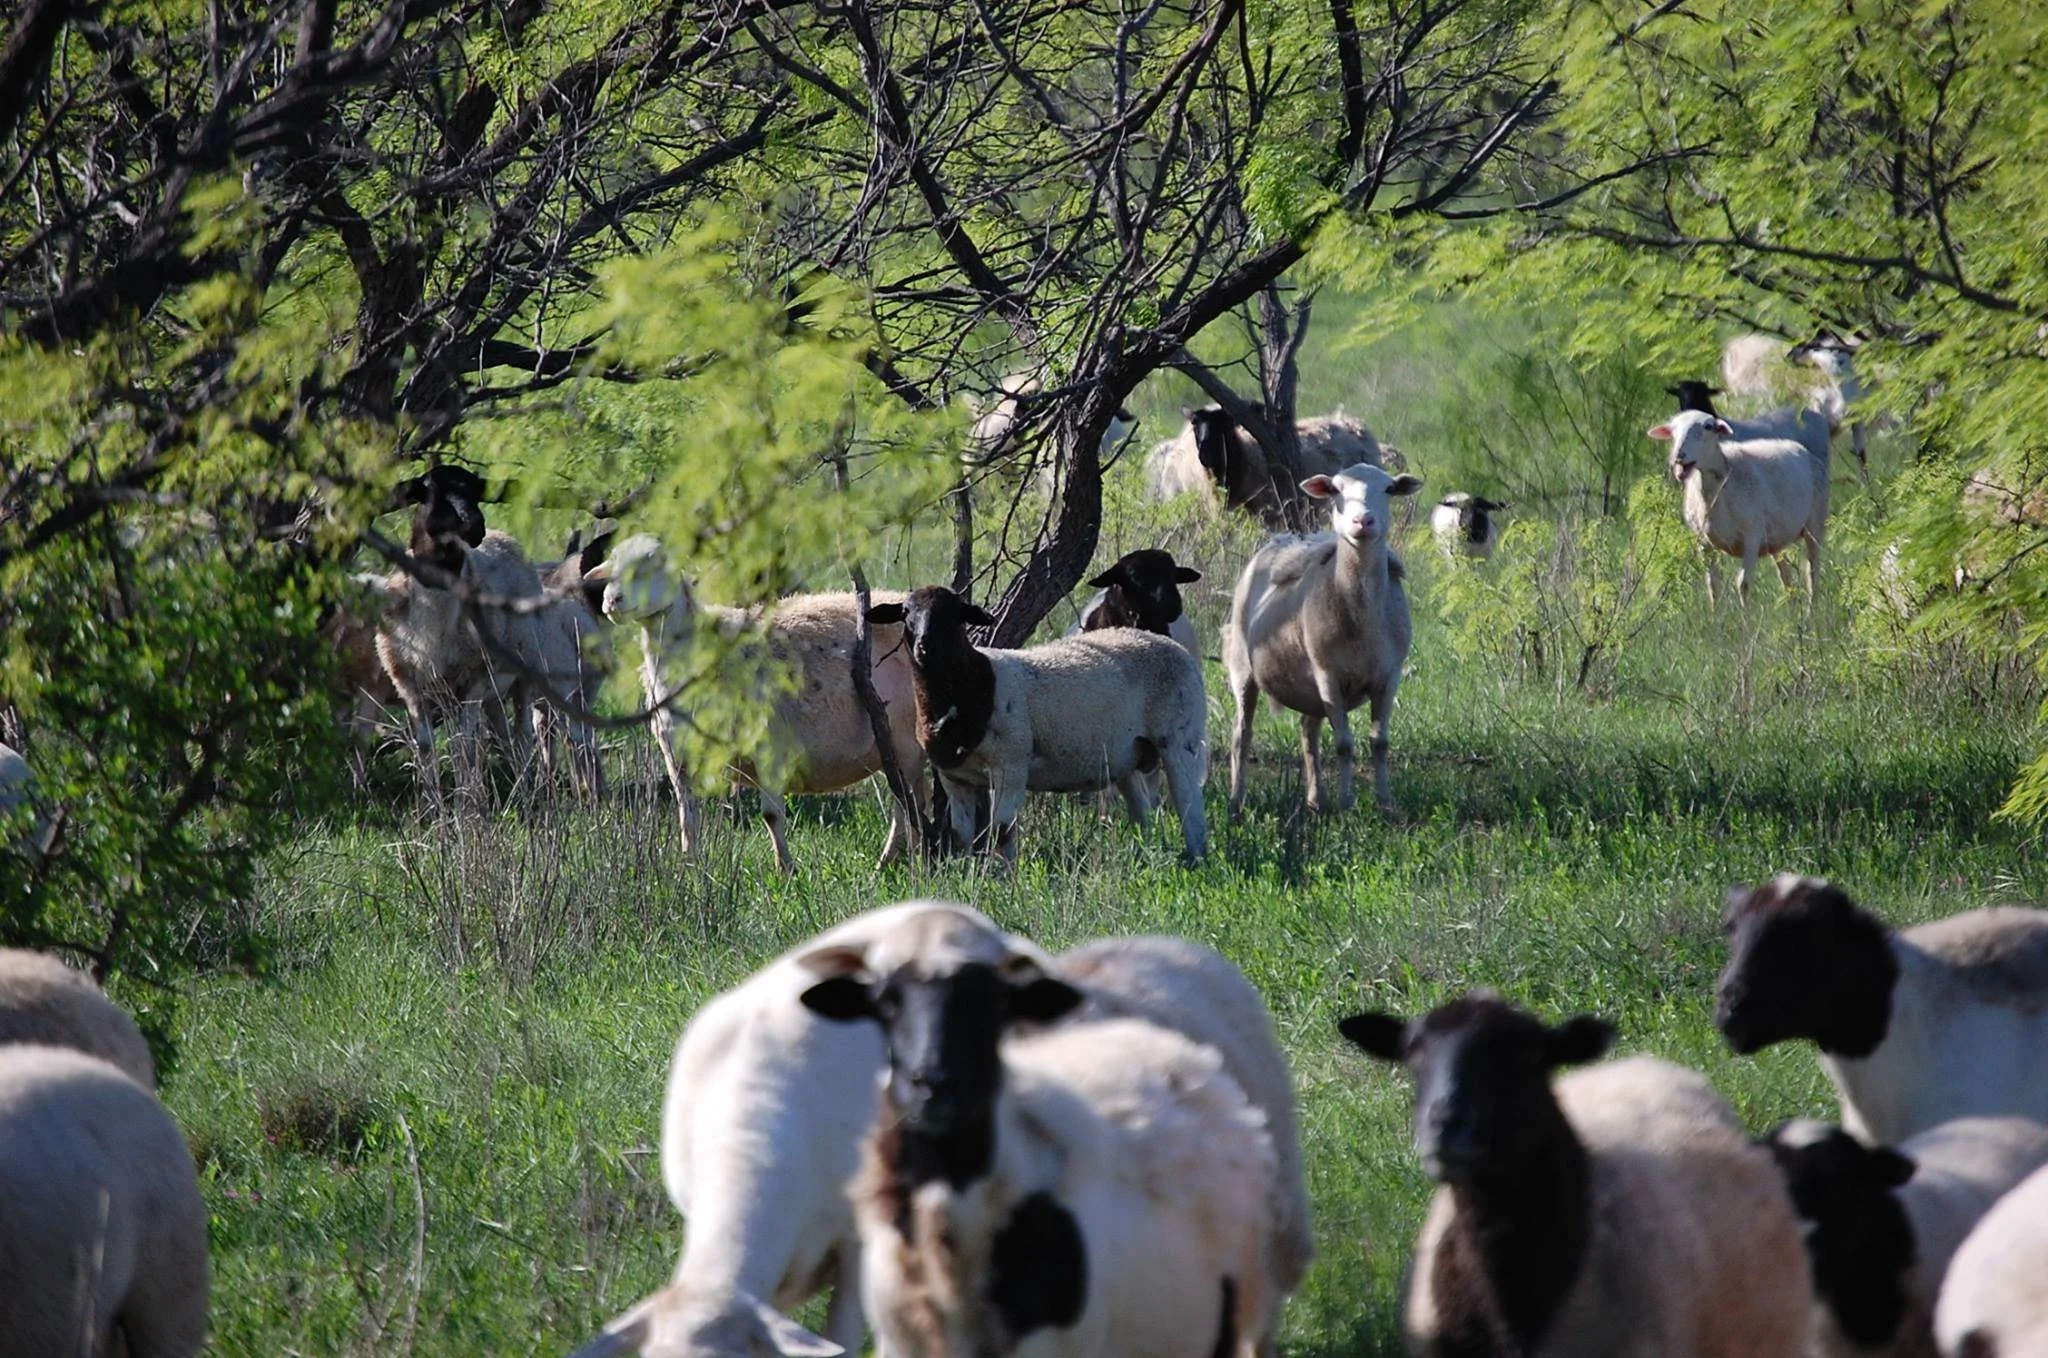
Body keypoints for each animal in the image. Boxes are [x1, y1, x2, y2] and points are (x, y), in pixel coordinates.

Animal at [585, 535, 926, 872]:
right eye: (611, 569)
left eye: (656, 564)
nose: (611, 601)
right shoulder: (678, 756)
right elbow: (688, 816)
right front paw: (689, 866)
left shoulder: (770, 747)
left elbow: (771, 816)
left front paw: (785, 870)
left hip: (903, 739)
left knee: (904, 806)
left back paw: (888, 863)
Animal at [864, 585, 1208, 864]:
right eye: (906, 613)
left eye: (954, 614)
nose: (925, 646)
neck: (971, 687)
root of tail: (1173, 647)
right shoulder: (954, 779)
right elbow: (964, 839)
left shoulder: (1011, 767)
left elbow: (1001, 833)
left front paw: (1002, 883)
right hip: (1126, 756)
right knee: (1142, 814)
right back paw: (1147, 857)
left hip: (1180, 738)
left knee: (1191, 808)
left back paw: (1197, 860)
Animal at [1224, 462, 1425, 818]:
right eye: (1335, 490)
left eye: (1389, 489)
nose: (1363, 522)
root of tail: (1281, 539)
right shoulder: (1329, 675)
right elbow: (1344, 745)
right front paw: (1346, 804)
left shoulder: (1389, 676)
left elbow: (1380, 742)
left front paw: (1385, 803)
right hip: (1244, 668)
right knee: (1241, 735)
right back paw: (1237, 801)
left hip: (1309, 688)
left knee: (1308, 732)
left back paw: (1315, 801)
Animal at [1649, 408, 1829, 604]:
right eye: (1673, 431)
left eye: (1708, 426)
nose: (1678, 456)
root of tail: (1801, 449)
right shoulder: (1704, 542)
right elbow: (1713, 587)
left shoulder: (1752, 537)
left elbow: (1744, 585)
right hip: (1776, 539)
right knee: (1787, 580)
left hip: (1815, 525)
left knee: (1812, 575)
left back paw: (1812, 610)